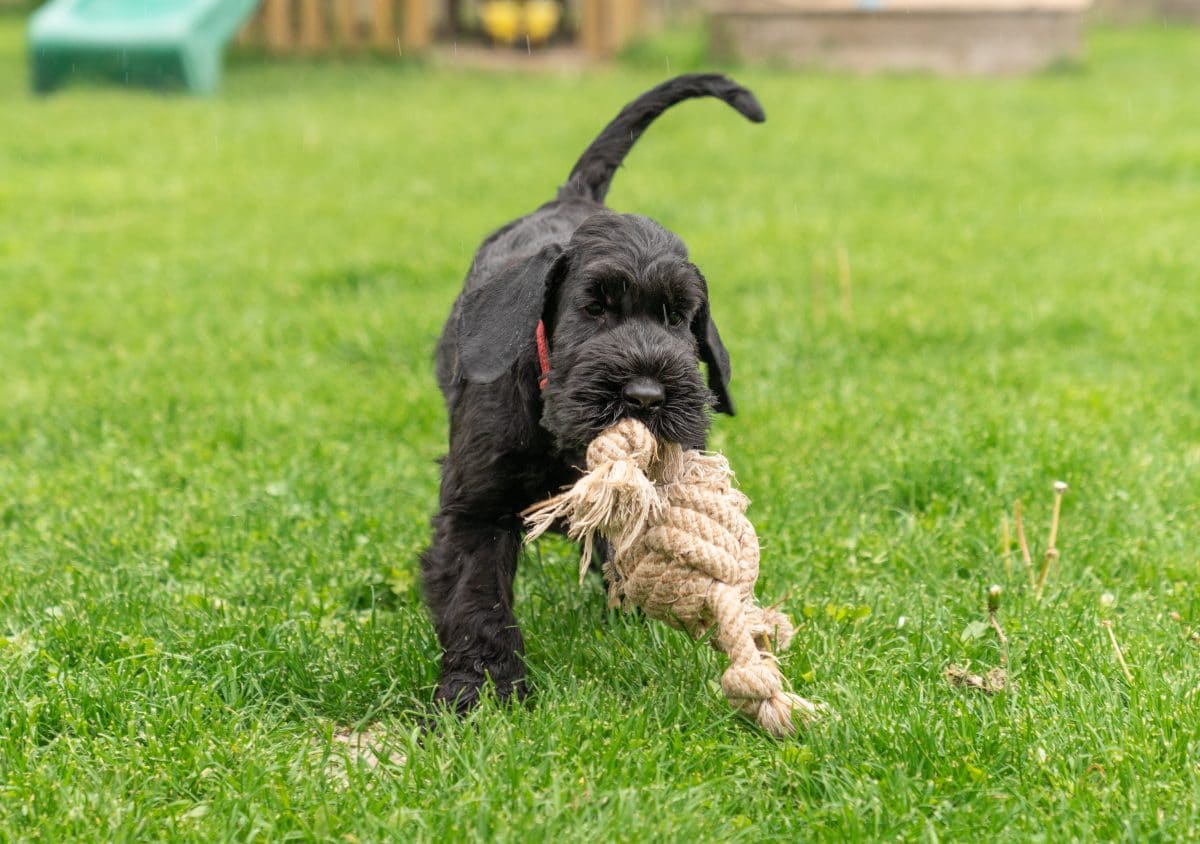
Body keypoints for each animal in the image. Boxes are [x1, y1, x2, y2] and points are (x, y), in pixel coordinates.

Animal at [422, 74, 758, 710]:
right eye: (594, 307)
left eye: (679, 317)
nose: (647, 397)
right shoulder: (476, 506)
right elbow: (477, 600)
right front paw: (479, 692)